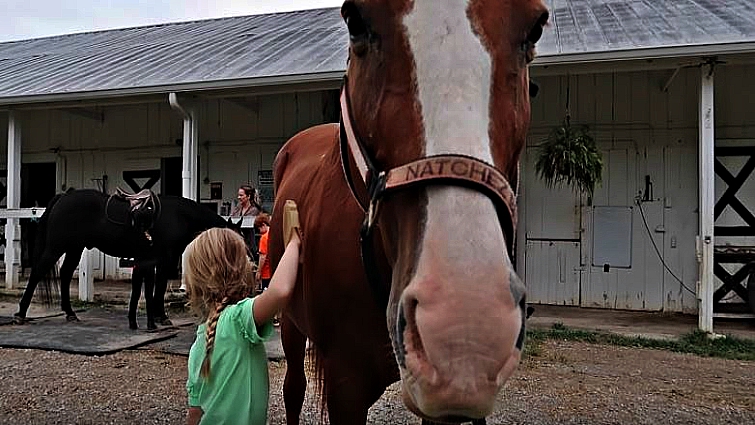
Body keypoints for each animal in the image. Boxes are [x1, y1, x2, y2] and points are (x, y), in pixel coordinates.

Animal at [13, 189, 240, 330]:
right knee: (38, 272)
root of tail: (63, 197)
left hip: (74, 249)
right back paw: (21, 313)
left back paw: (70, 313)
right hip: (56, 247)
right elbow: (159, 288)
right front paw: (161, 317)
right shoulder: (164, 259)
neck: (178, 216)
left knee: (66, 274)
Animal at [268, 1, 549, 423]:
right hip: (289, 322)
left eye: (535, 28)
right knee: (293, 389)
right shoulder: (345, 387)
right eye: (356, 20)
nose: (466, 329)